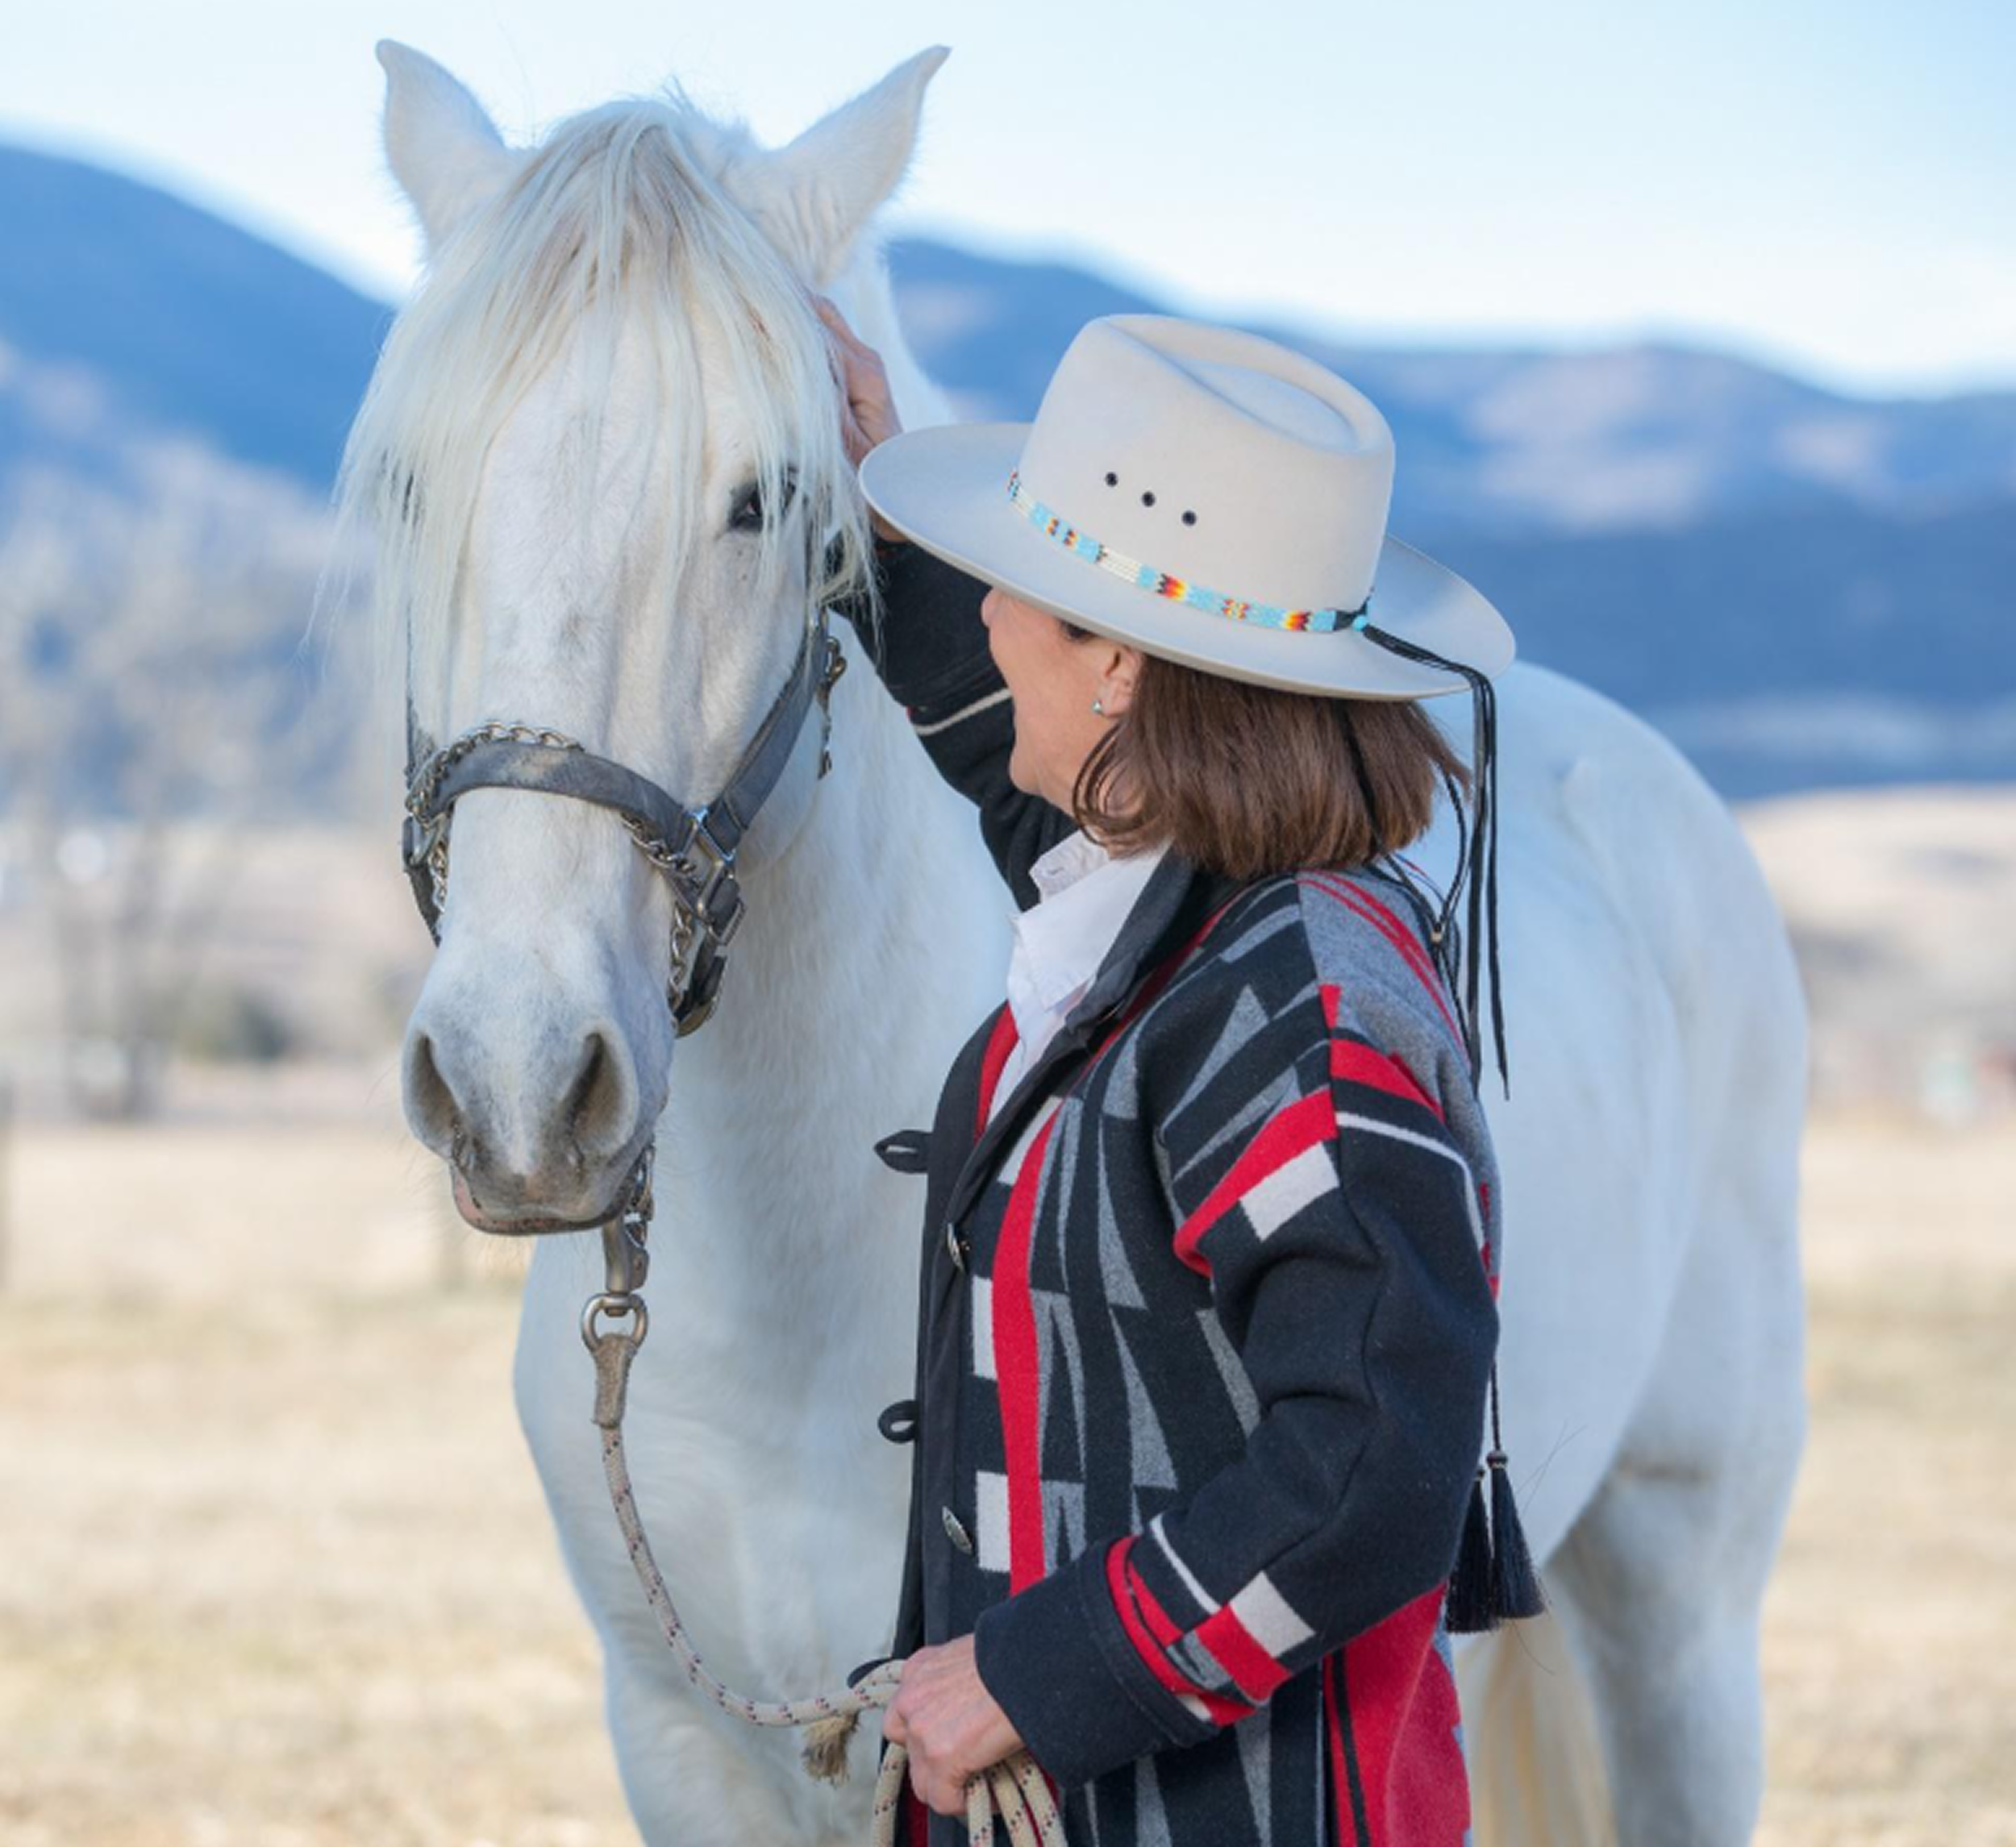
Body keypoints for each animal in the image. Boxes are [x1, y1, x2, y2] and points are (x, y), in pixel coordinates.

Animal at [342, 40, 1810, 1847]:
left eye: (764, 495)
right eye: (415, 483)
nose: (518, 1079)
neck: (778, 1297)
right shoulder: (678, 1742)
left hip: (1682, 1613)